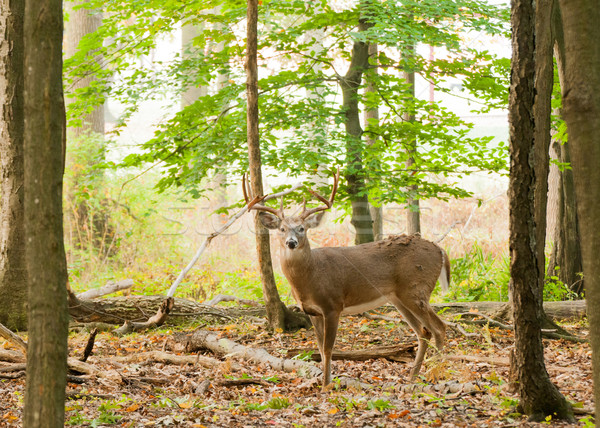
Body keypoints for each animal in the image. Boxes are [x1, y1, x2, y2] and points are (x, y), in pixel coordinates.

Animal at [241, 171, 448, 388]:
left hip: (416, 289)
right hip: (398, 297)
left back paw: (437, 374)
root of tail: (440, 250)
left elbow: (328, 348)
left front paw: (326, 386)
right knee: (423, 332)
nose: (291, 242)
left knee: (439, 327)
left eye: (302, 228)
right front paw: (325, 381)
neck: (311, 276)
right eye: (281, 229)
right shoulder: (312, 312)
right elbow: (319, 348)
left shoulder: (333, 305)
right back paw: (412, 377)